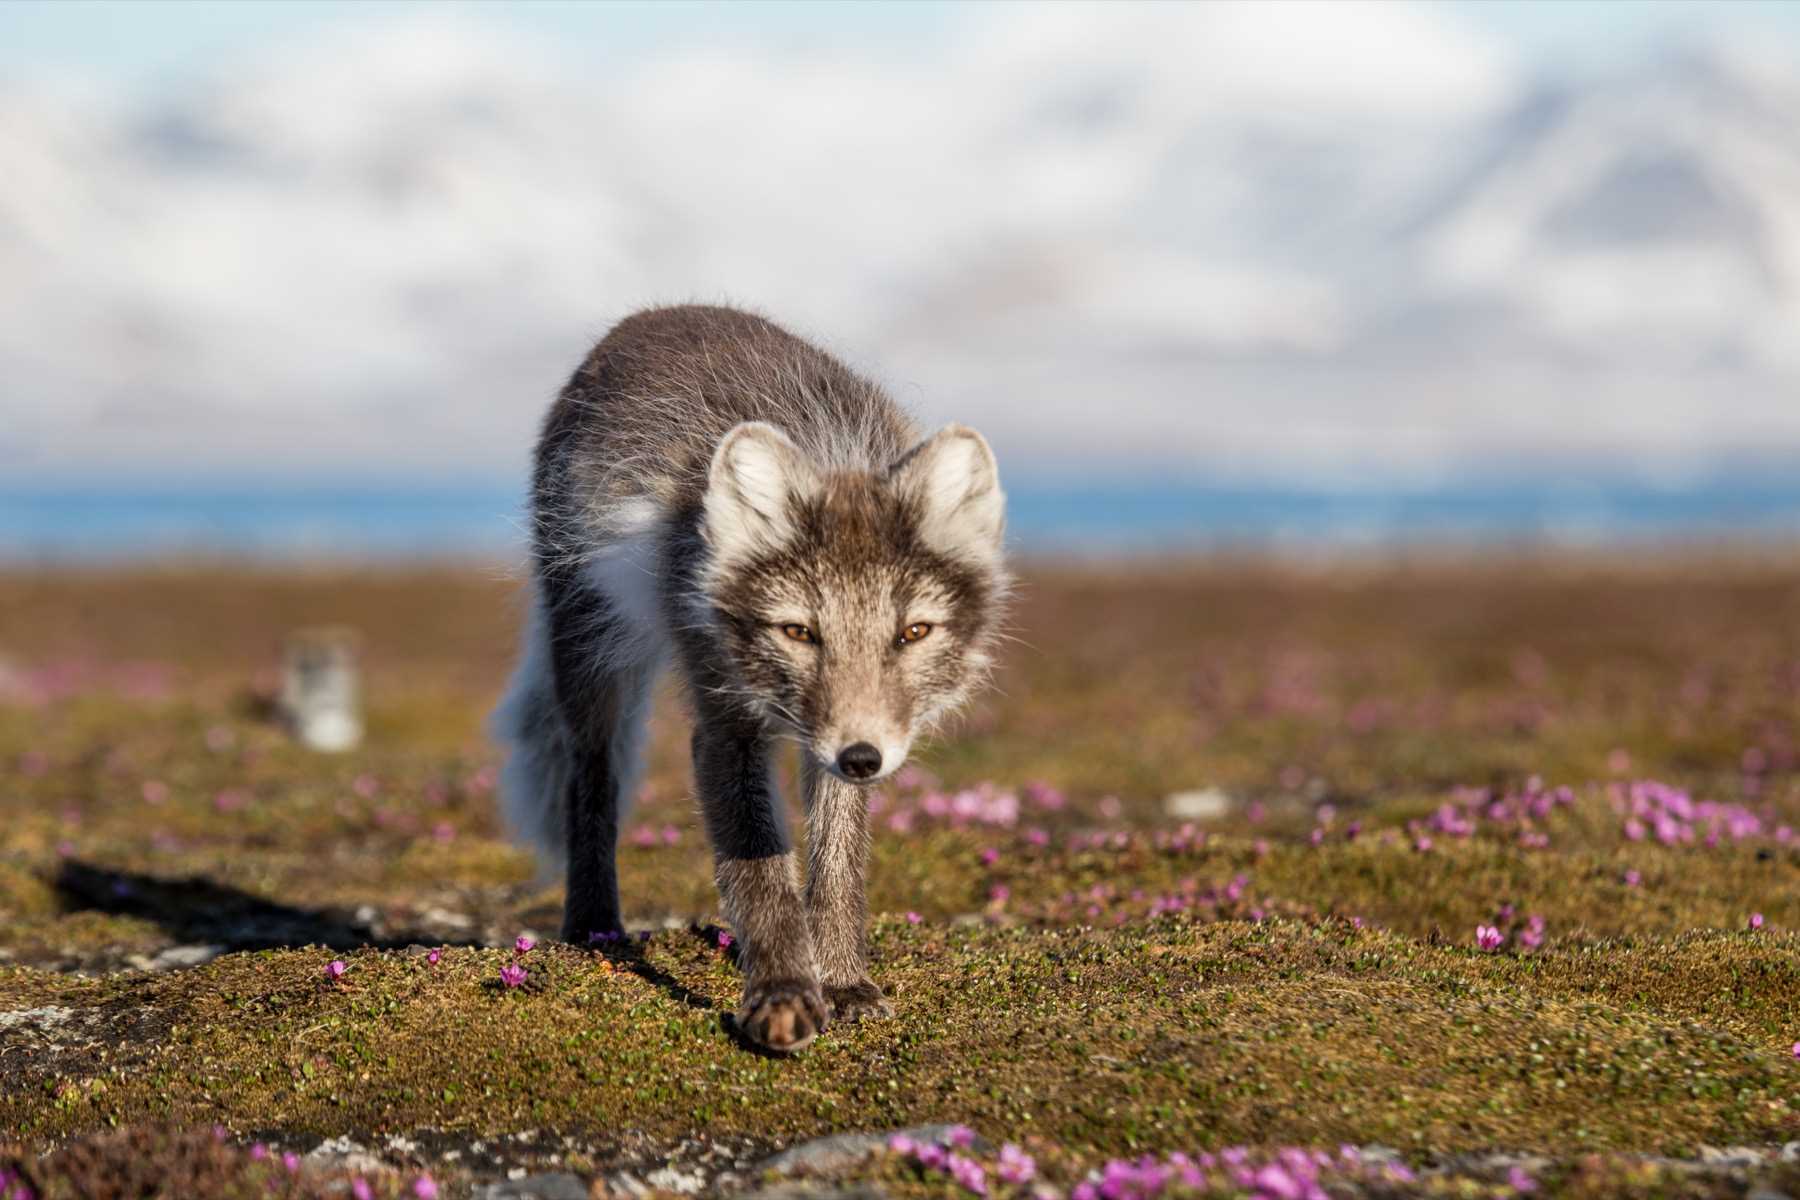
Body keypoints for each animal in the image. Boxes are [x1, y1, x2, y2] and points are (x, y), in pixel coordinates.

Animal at [489, 307, 1015, 1050]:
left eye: (913, 633)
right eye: (798, 632)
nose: (862, 759)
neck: (834, 455)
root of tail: (653, 316)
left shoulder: (837, 742)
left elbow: (837, 863)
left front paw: (843, 980)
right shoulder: (725, 719)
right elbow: (760, 866)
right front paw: (783, 994)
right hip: (587, 641)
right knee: (591, 778)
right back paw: (595, 927)